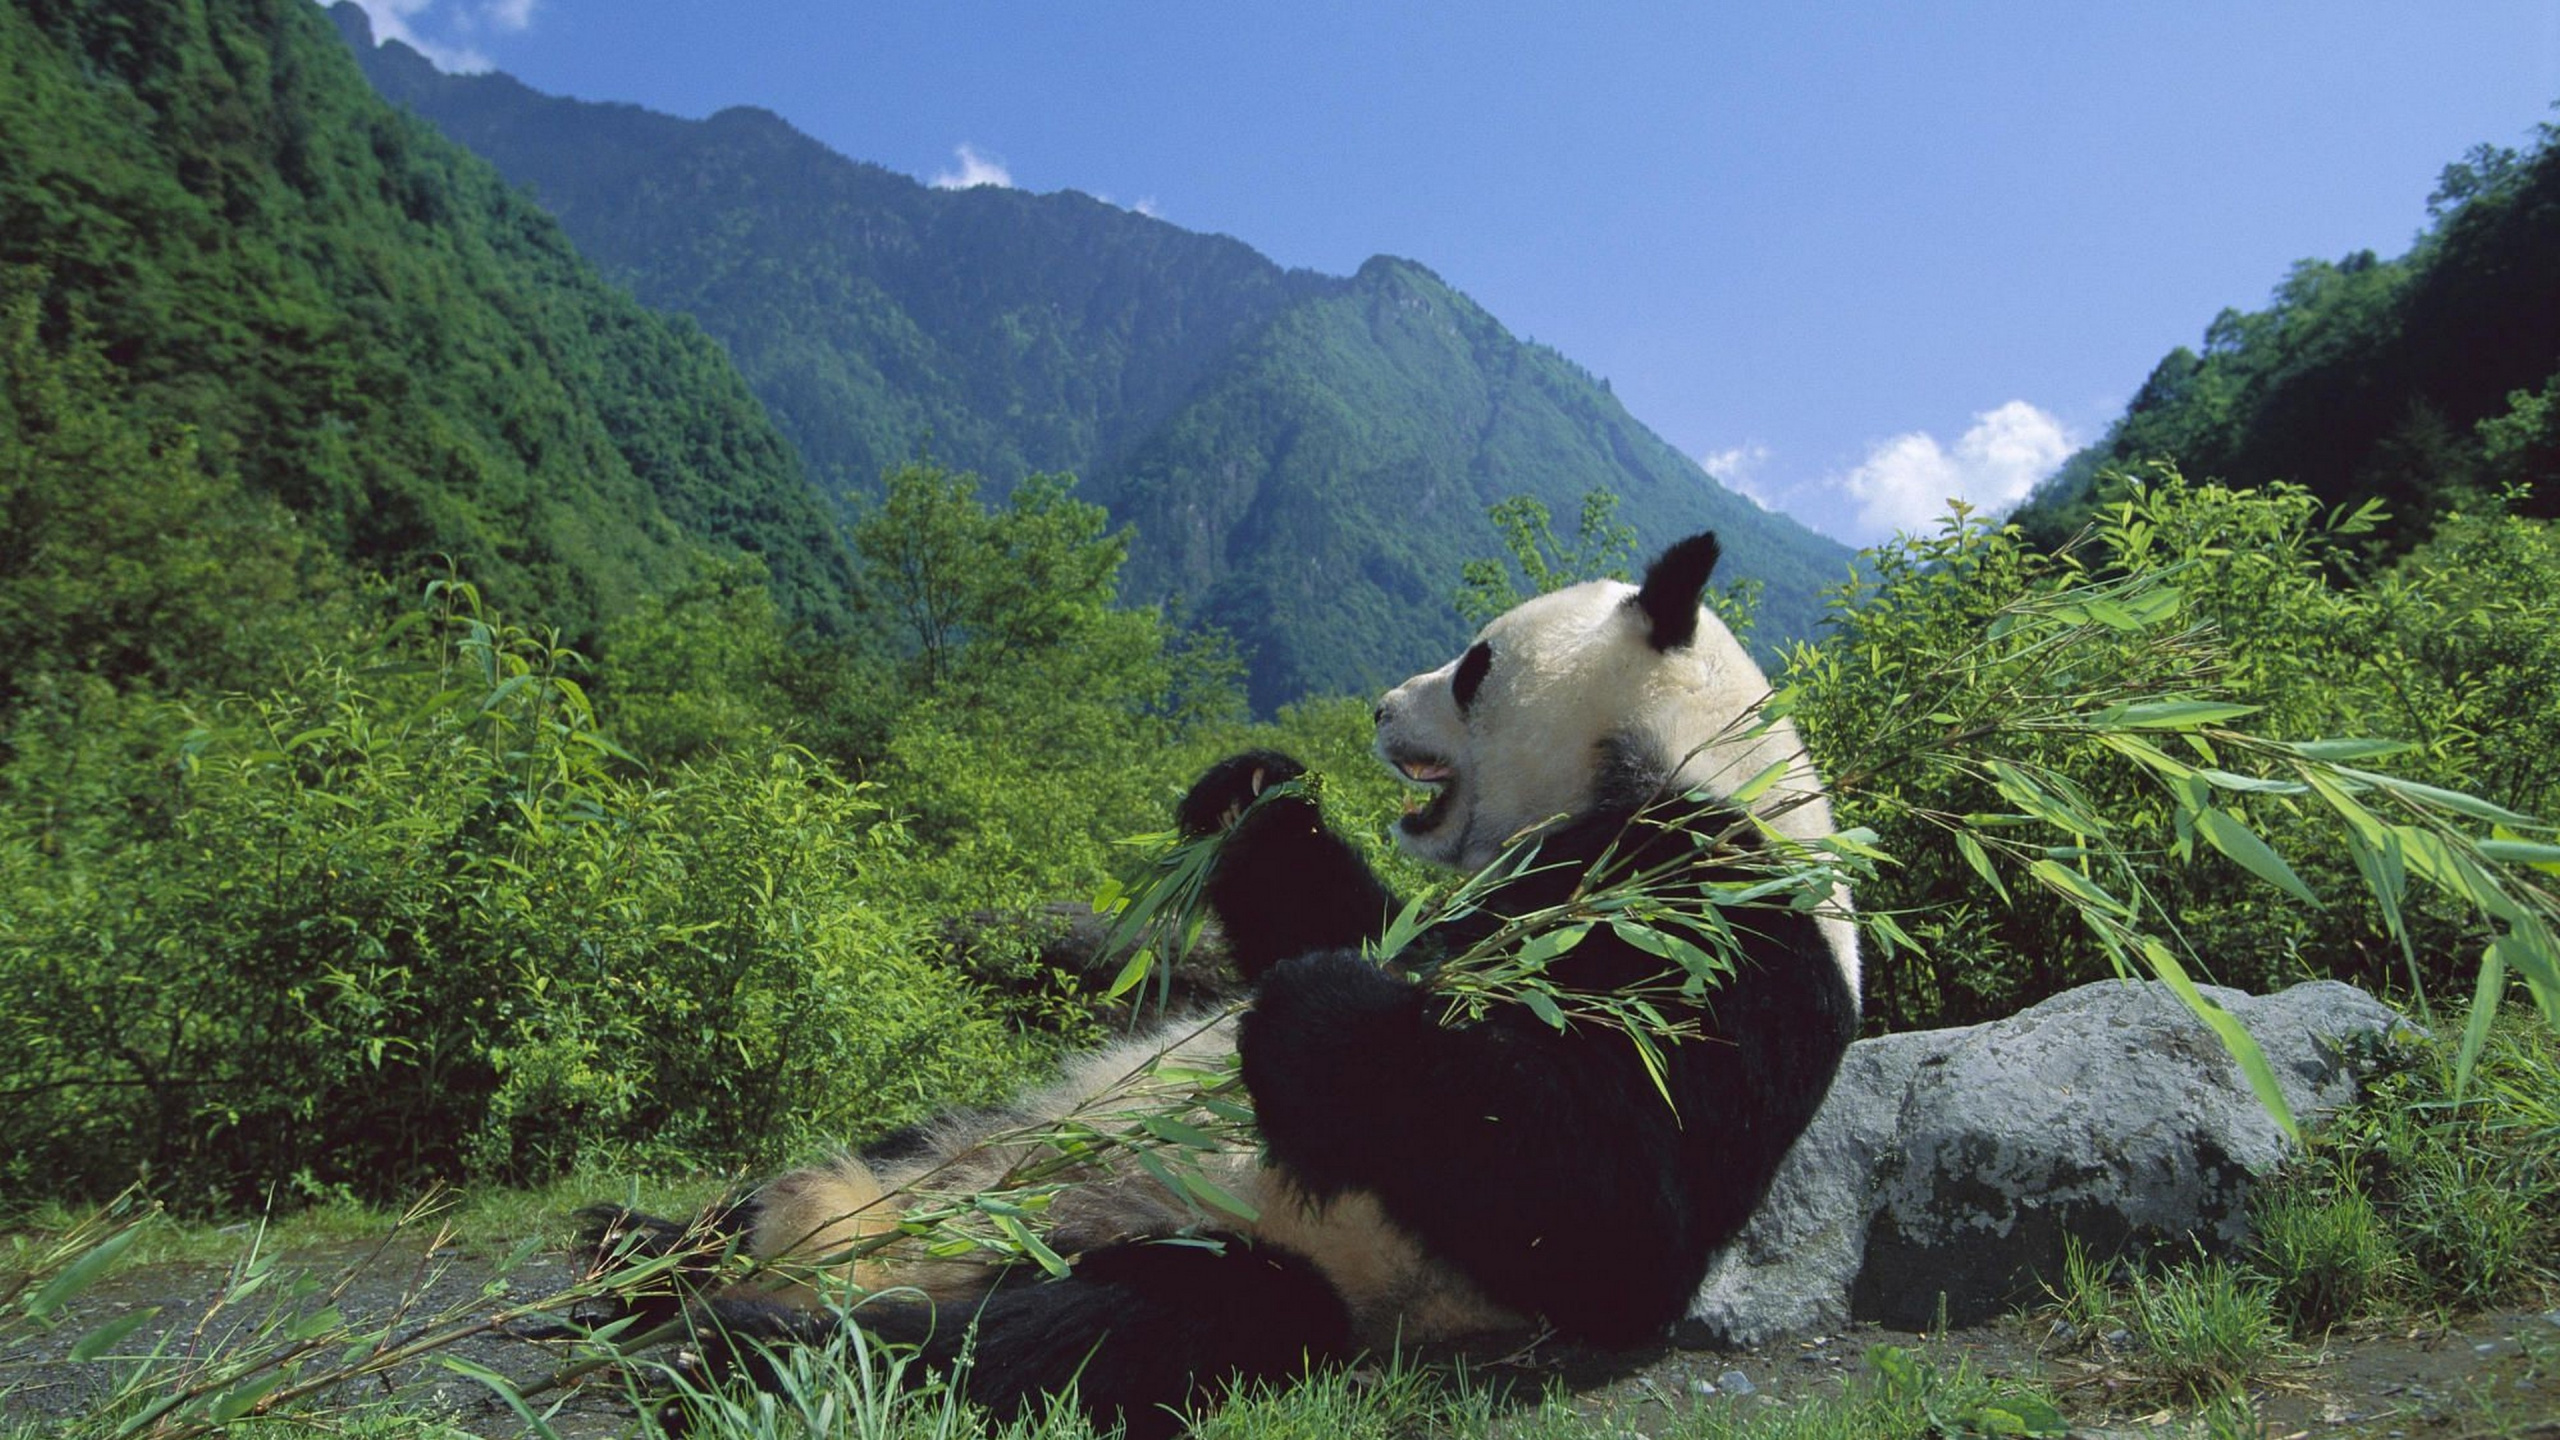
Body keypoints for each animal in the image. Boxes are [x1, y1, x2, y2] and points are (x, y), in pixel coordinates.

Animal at [590, 531, 1860, 1438]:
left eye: (1473, 664)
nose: (1379, 708)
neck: (1675, 766)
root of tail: (872, 1241)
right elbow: (1349, 915)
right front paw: (1253, 788)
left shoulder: (1724, 925)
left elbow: (1618, 1216)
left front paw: (1319, 1015)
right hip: (972, 1129)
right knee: (820, 1184)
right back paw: (640, 1253)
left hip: (1235, 1247)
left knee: (1102, 1328)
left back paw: (741, 1345)